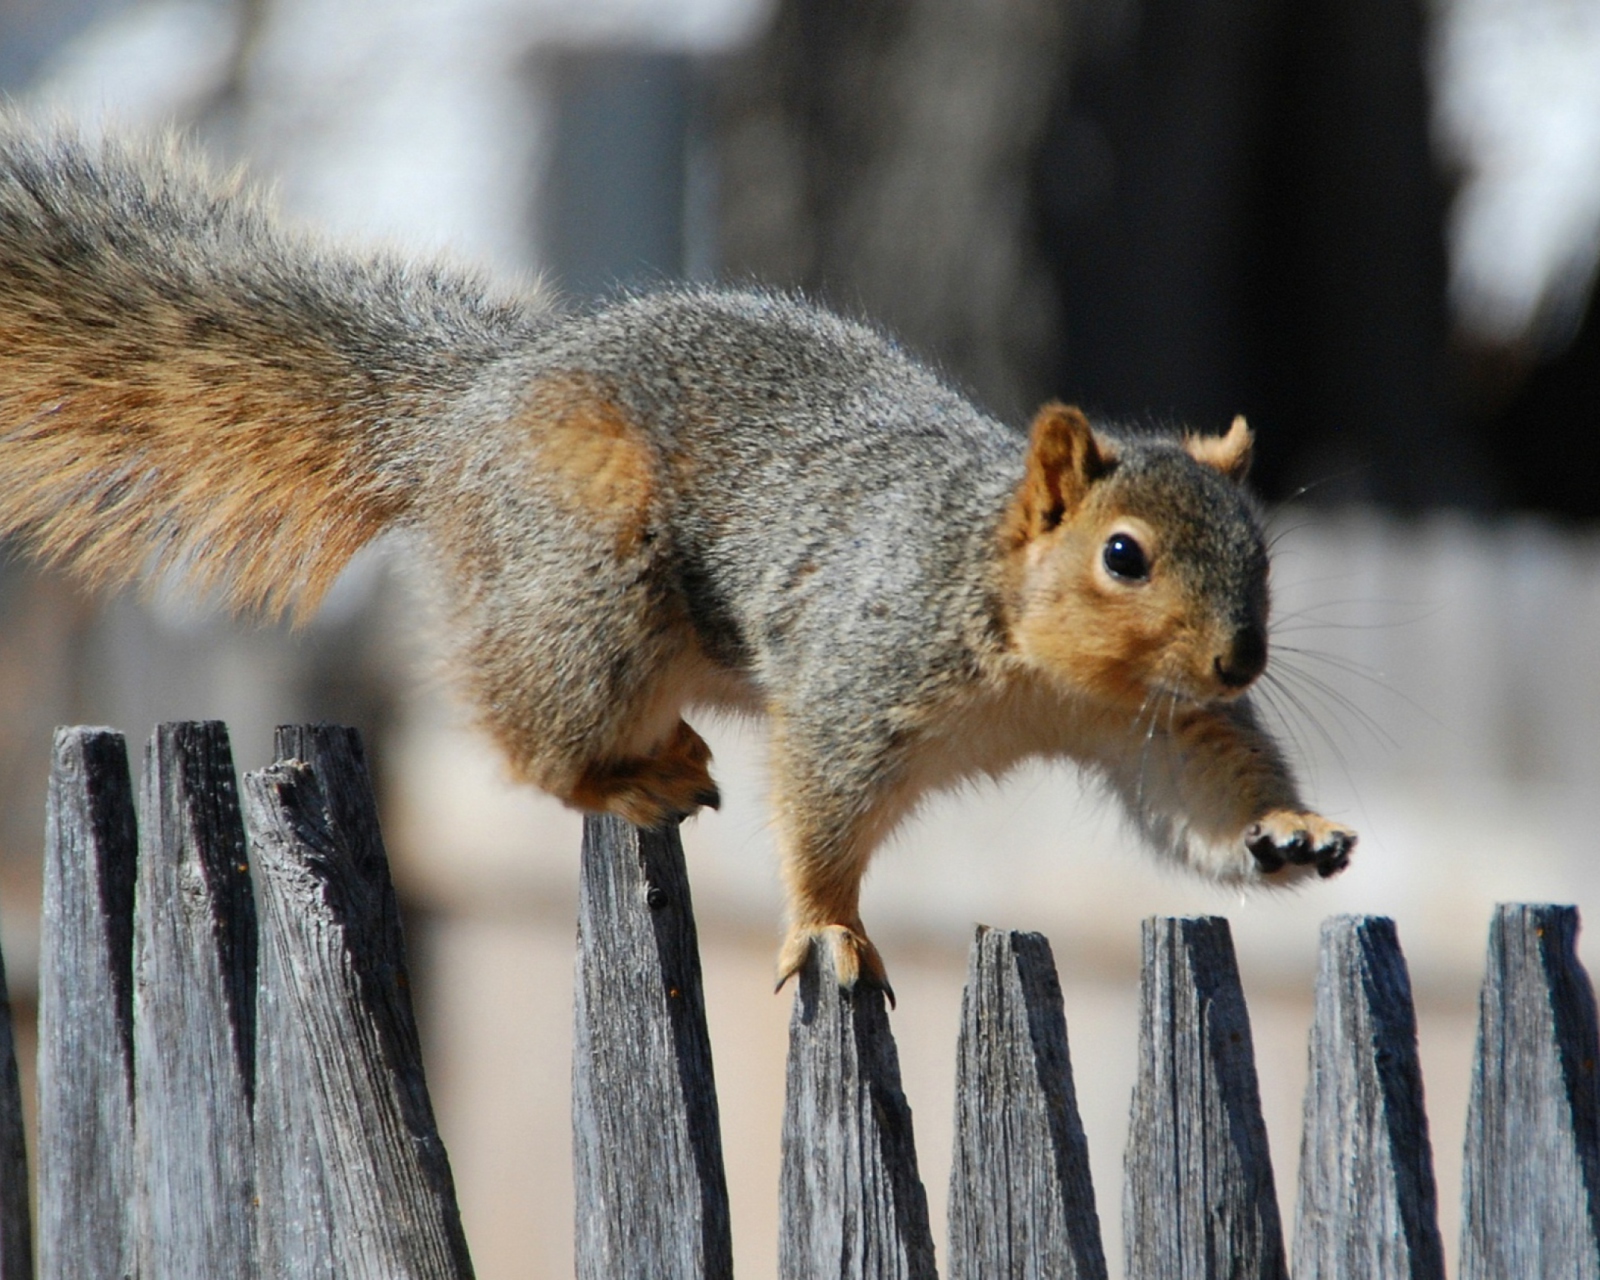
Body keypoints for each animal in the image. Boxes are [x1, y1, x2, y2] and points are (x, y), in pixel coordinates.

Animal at [0, 127, 1356, 992]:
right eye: (1122, 554)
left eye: (1260, 552)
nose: (1240, 658)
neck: (1033, 657)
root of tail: (466, 409)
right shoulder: (858, 676)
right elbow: (820, 810)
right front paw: (827, 929)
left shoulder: (1151, 724)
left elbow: (1199, 792)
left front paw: (1289, 832)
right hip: (587, 590)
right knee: (528, 737)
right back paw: (626, 776)